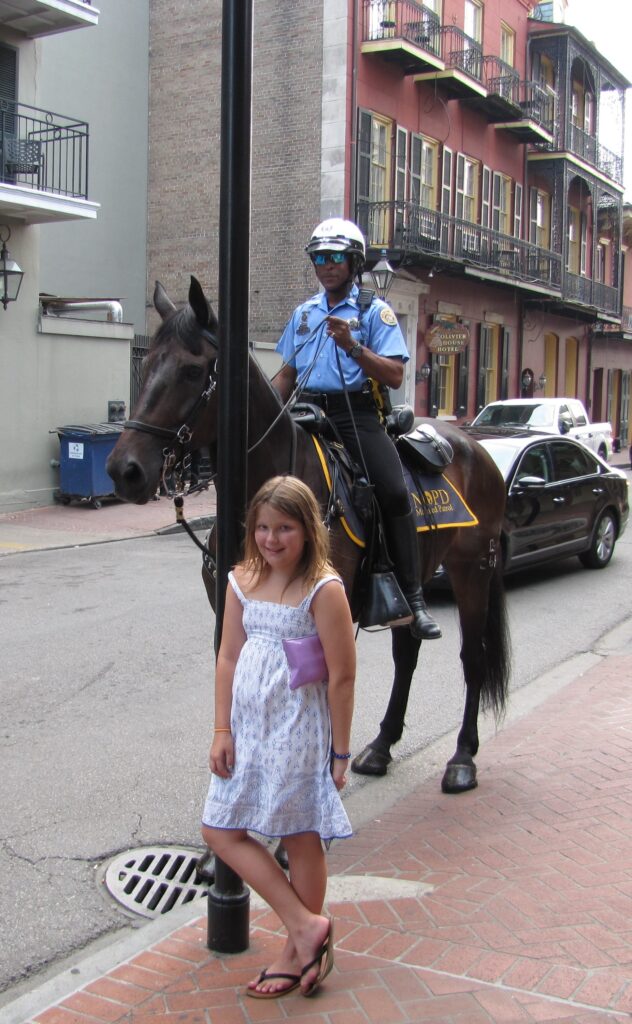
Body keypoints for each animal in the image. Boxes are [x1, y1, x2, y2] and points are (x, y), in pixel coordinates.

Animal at [104, 276, 508, 786]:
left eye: (192, 371)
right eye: (147, 363)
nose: (124, 470)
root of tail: (474, 446)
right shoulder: (231, 610)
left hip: (473, 570)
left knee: (472, 658)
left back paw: (462, 758)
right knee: (407, 654)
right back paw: (382, 746)